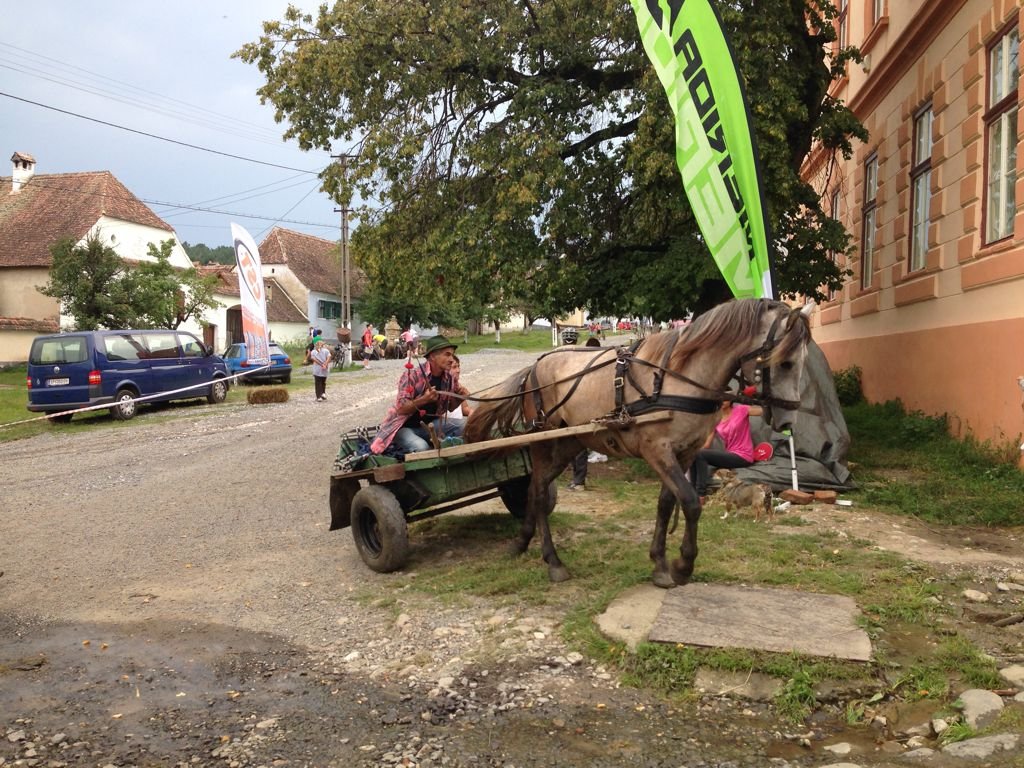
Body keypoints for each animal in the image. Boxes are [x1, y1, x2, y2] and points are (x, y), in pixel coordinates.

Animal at [462, 296, 806, 585]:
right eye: (785, 362)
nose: (789, 420)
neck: (677, 377)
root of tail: (535, 366)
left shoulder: (685, 453)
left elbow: (667, 503)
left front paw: (660, 563)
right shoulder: (657, 450)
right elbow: (691, 502)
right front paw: (683, 565)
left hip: (570, 442)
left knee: (539, 491)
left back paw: (524, 543)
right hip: (542, 440)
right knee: (536, 491)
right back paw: (553, 561)